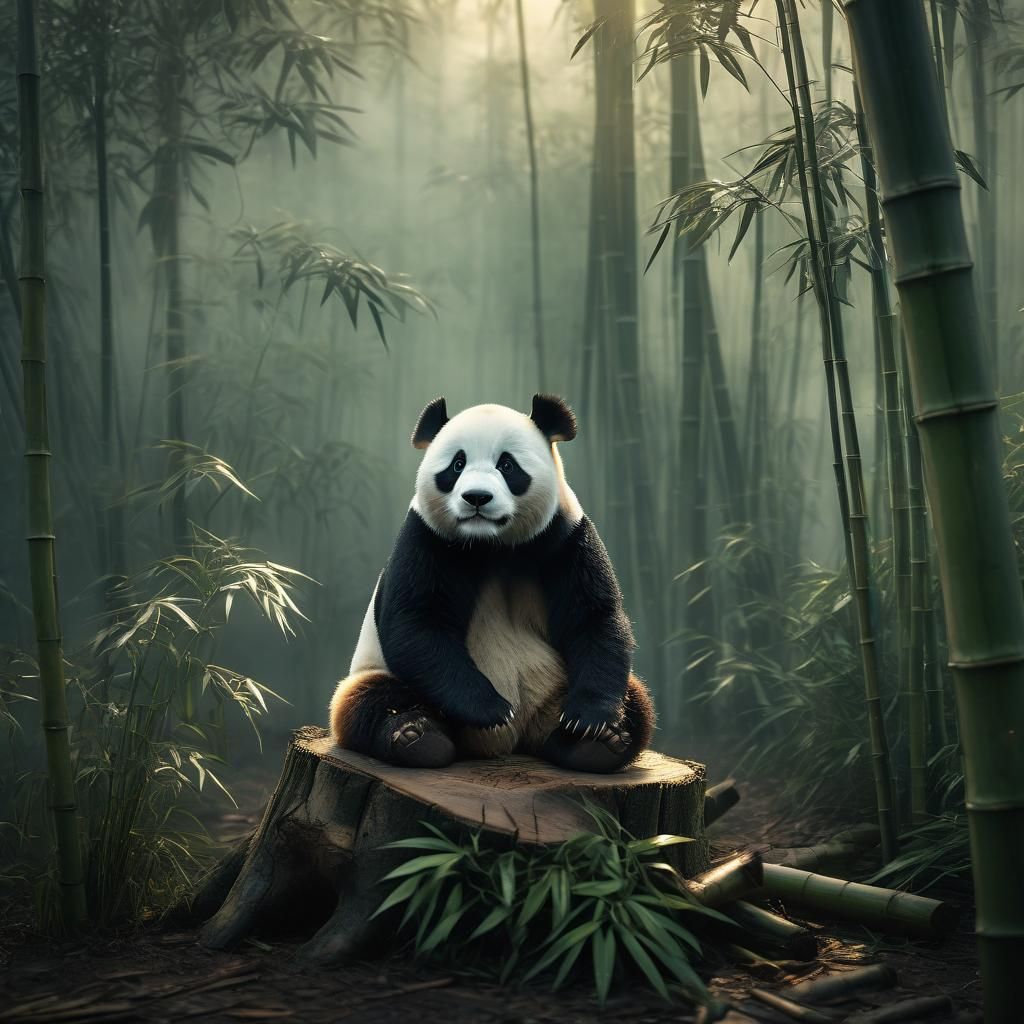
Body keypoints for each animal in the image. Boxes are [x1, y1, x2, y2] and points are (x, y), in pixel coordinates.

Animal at [328, 394, 655, 774]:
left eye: (507, 465)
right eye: (457, 464)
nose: (476, 497)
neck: (492, 544)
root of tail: (512, 742)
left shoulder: (567, 536)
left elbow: (594, 617)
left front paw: (589, 720)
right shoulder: (425, 537)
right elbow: (416, 623)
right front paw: (491, 709)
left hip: (559, 688)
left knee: (638, 702)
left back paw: (599, 743)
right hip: (374, 675)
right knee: (369, 701)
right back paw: (417, 737)